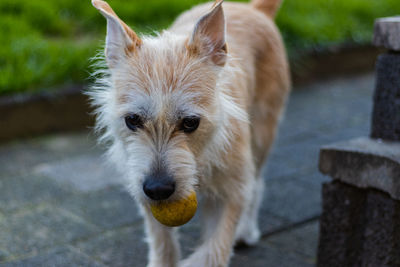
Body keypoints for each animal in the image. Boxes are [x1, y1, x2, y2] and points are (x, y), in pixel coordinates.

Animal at [90, 0, 290, 266]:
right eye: (132, 120)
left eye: (190, 122)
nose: (158, 189)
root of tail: (253, 9)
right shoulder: (144, 189)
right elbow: (162, 243)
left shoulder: (232, 190)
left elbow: (213, 251)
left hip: (261, 136)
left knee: (256, 184)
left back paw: (246, 230)